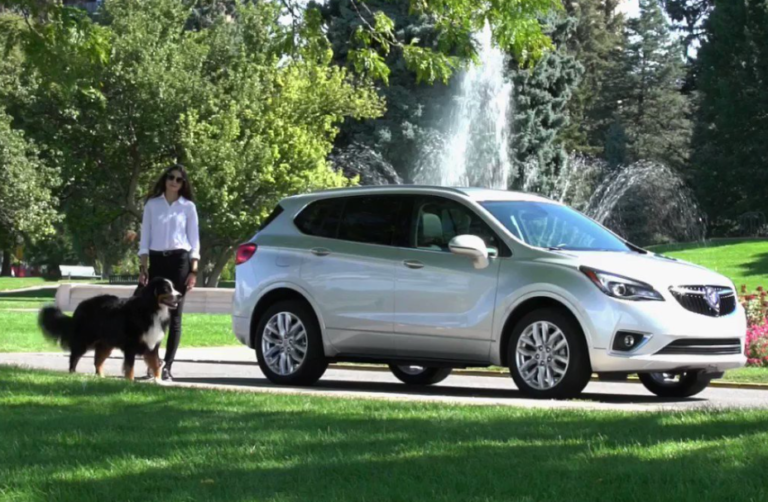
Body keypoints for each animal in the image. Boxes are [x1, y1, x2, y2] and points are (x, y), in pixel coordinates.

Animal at [39, 278, 183, 380]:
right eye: (166, 289)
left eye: (174, 287)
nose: (180, 295)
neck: (152, 309)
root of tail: (80, 306)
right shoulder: (130, 345)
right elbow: (130, 367)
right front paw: (131, 382)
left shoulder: (152, 344)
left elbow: (156, 364)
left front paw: (159, 382)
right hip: (85, 340)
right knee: (74, 357)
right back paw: (73, 374)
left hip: (105, 344)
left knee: (97, 362)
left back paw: (102, 379)